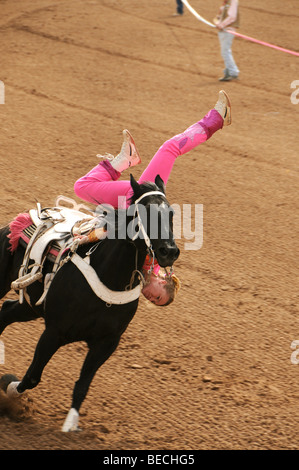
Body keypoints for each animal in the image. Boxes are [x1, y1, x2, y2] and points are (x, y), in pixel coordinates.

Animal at [0, 175, 179, 430]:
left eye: (171, 213)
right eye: (145, 212)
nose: (169, 251)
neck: (109, 276)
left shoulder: (106, 343)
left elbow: (83, 385)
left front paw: (70, 424)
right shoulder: (54, 332)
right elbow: (32, 376)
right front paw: (8, 384)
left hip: (32, 306)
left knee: (6, 311)